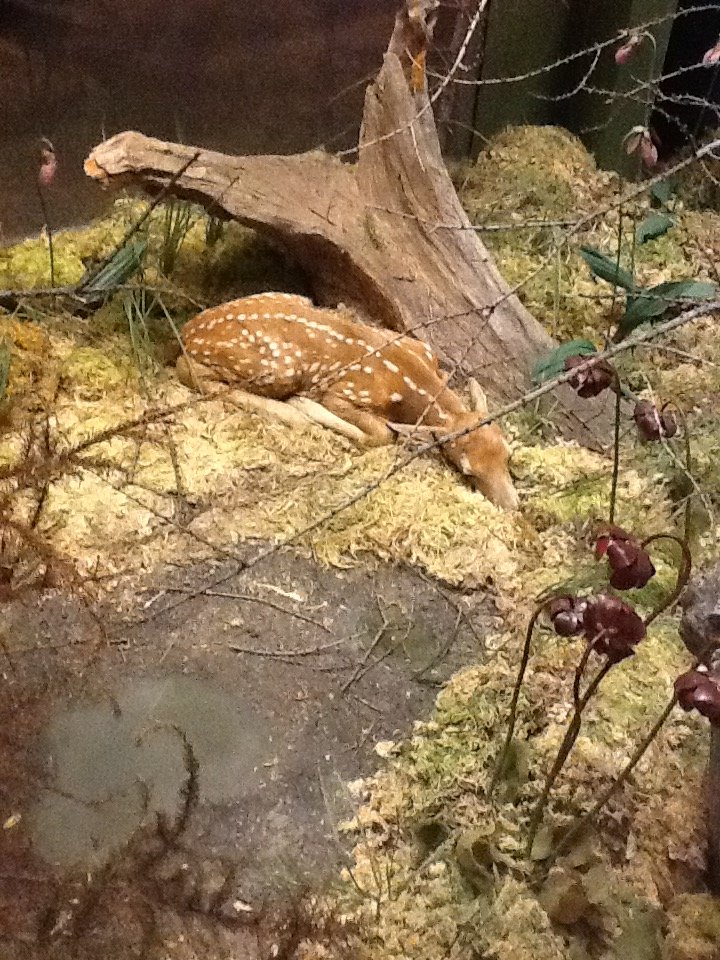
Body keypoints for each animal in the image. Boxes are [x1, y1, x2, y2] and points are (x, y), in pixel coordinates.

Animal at [175, 293, 519, 510]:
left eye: (507, 455)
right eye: (468, 471)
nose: (512, 505)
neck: (410, 379)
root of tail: (186, 331)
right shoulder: (344, 392)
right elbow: (381, 433)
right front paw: (304, 404)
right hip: (277, 366)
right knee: (188, 369)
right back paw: (290, 410)